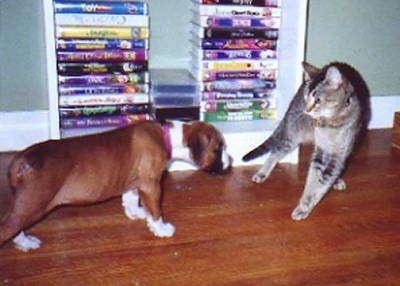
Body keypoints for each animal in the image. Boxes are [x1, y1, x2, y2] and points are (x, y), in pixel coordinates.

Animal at [242, 61, 370, 220]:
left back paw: (338, 180)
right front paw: (304, 205)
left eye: (318, 100)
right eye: (306, 97)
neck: (329, 124)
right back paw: (262, 173)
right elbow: (312, 181)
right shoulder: (320, 152)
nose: (307, 110)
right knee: (276, 152)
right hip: (293, 136)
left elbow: (323, 182)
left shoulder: (339, 155)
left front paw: (306, 205)